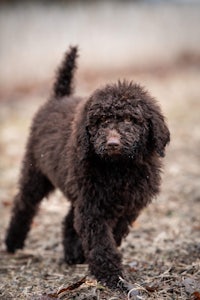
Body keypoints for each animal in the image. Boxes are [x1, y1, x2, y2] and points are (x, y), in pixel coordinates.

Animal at [5, 46, 170, 288]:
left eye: (131, 120)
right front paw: (110, 275)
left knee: (68, 219)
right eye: (100, 121)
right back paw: (13, 242)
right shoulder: (93, 206)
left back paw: (72, 254)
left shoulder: (126, 204)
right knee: (24, 204)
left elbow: (113, 231)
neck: (119, 168)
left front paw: (93, 260)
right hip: (36, 172)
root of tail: (59, 97)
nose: (112, 144)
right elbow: (100, 240)